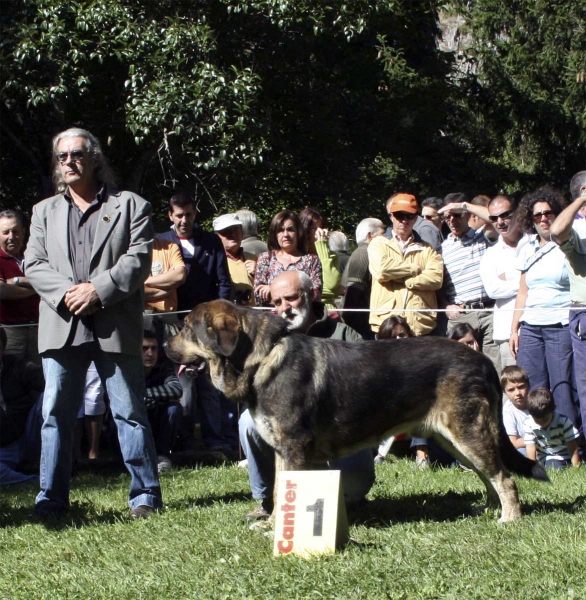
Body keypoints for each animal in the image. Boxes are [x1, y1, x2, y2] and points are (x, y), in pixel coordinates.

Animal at [165, 298, 548, 520]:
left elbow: (284, 492)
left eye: (186, 329)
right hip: (452, 439)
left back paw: (509, 519)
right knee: (489, 474)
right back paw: (488, 510)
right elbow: (278, 490)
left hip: (467, 432)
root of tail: (483, 361)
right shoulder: (284, 451)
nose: (167, 347)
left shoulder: (293, 448)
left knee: (504, 477)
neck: (261, 357)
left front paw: (278, 528)